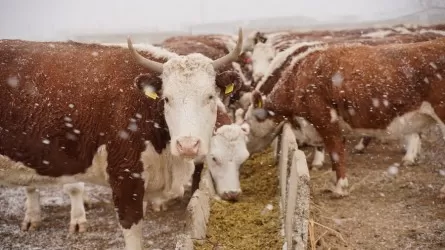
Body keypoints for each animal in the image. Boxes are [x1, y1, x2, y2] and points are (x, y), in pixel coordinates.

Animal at [243, 37, 444, 197]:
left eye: (246, 126)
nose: (247, 151)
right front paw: (333, 181)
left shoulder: (324, 119)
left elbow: (335, 151)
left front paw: (340, 187)